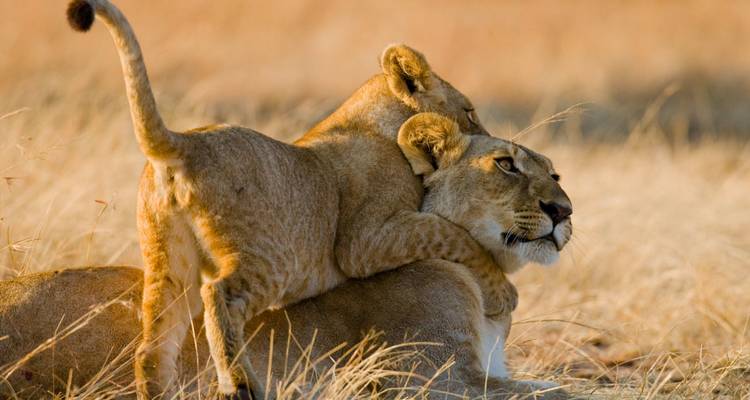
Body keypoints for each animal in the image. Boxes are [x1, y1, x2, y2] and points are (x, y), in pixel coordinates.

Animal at [64, 1, 534, 398]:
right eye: (469, 110)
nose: (487, 135)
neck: (376, 122)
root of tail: (183, 143)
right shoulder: (366, 241)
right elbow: (453, 234)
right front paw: (501, 291)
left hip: (167, 263)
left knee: (153, 347)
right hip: (272, 258)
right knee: (220, 298)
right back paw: (242, 384)